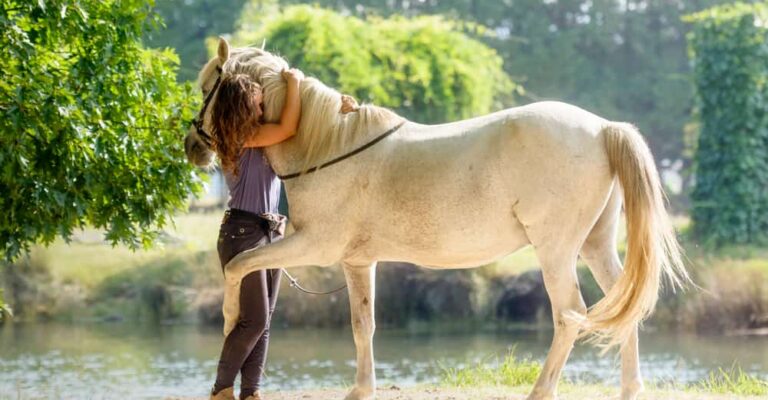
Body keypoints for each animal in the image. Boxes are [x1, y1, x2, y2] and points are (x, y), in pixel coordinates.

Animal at [184, 38, 689, 400]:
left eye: (208, 86)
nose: (193, 146)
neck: (327, 145)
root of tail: (602, 129)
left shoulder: (314, 245)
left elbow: (237, 266)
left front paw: (228, 318)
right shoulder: (357, 262)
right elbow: (363, 325)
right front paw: (361, 390)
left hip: (556, 251)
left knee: (569, 314)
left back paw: (541, 391)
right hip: (595, 245)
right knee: (622, 303)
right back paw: (629, 389)